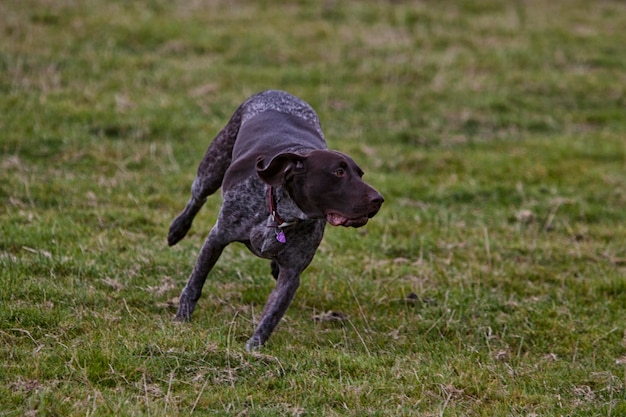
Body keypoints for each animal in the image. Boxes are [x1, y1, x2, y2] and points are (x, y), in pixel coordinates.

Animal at [167, 89, 380, 350]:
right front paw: (182, 318)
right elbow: (196, 281)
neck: (281, 215)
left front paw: (253, 348)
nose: (379, 200)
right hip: (211, 170)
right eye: (338, 172)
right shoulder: (217, 238)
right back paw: (177, 229)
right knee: (197, 198)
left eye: (360, 174)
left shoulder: (292, 274)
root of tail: (278, 92)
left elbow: (272, 315)